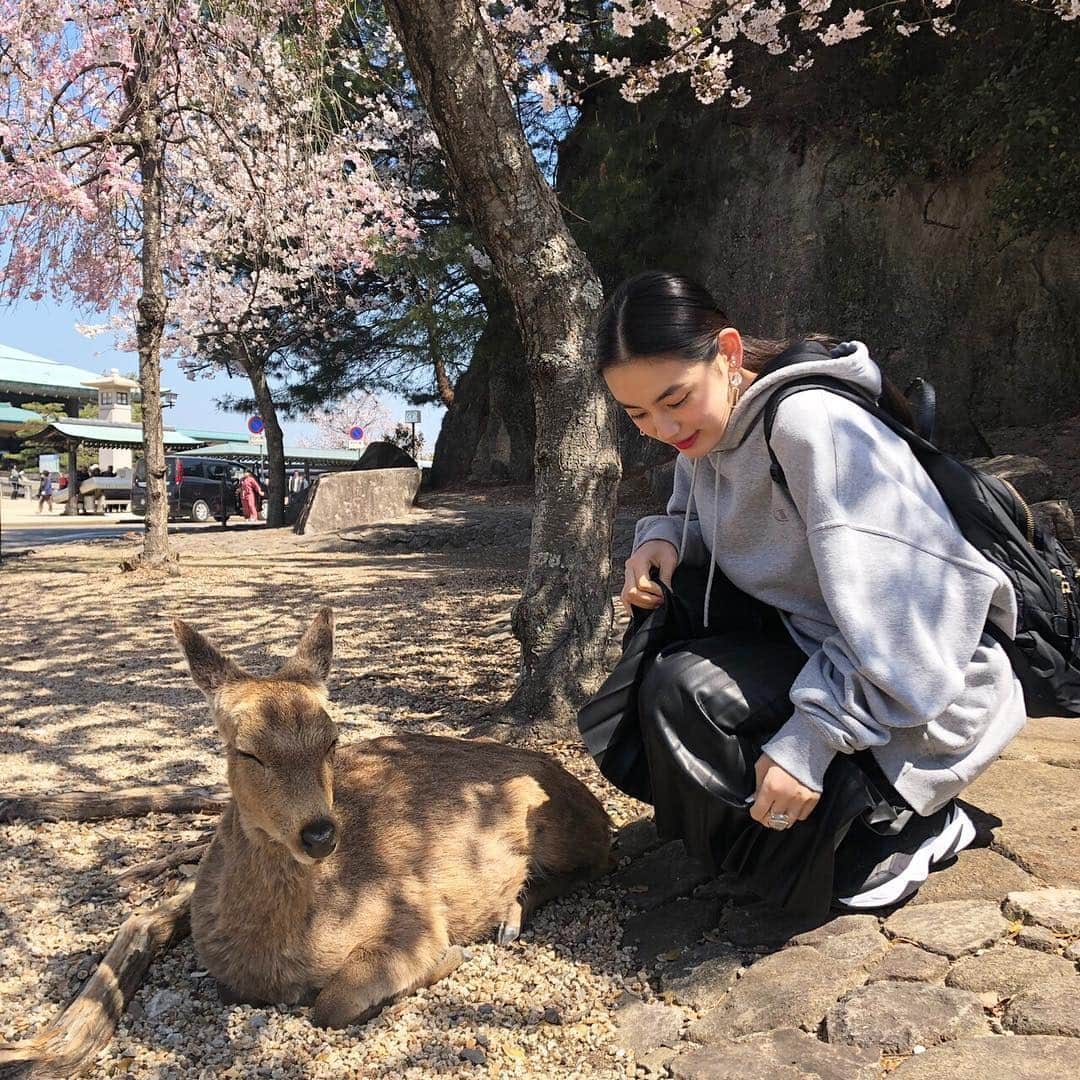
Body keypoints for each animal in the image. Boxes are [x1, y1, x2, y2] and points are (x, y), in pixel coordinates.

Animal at [178, 613, 617, 1023]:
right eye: (246, 751)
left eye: (332, 741)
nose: (319, 835)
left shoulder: (413, 909)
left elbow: (333, 1004)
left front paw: (446, 959)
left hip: (564, 829)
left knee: (598, 860)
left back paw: (509, 920)